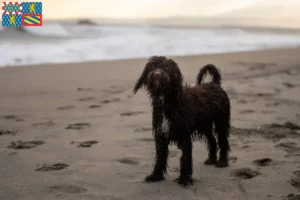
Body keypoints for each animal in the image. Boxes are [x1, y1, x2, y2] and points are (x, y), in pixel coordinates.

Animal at [132, 55, 231, 187]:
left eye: (166, 67)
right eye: (152, 66)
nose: (157, 74)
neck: (168, 103)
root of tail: (215, 84)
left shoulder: (184, 137)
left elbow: (185, 158)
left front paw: (184, 179)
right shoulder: (161, 135)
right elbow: (160, 158)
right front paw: (156, 176)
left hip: (221, 121)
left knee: (223, 140)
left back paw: (222, 162)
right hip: (205, 125)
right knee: (212, 140)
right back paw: (211, 159)